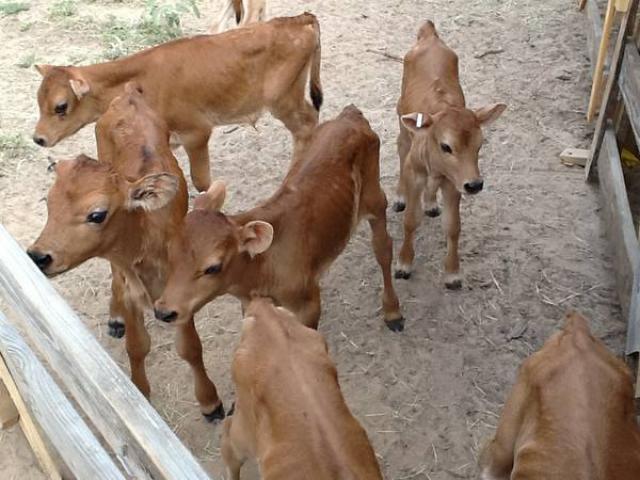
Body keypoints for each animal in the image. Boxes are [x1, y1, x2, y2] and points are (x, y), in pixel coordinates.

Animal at [27, 85, 225, 421]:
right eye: (48, 202)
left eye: (97, 214)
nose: (39, 256)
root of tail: (129, 94)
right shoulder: (131, 287)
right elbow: (137, 346)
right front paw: (141, 392)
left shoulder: (180, 293)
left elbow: (190, 348)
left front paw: (211, 403)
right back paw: (115, 316)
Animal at [32, 13, 322, 192]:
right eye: (38, 101)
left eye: (60, 106)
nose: (39, 138)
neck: (140, 79)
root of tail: (299, 20)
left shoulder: (196, 133)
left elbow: (202, 182)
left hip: (283, 101)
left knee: (306, 125)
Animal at [154, 105, 404, 332]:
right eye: (170, 254)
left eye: (213, 267)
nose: (164, 311)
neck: (264, 266)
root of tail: (350, 115)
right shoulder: (252, 303)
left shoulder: (308, 305)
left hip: (374, 198)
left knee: (383, 247)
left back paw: (393, 311)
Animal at [393, 20, 506, 289]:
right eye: (446, 146)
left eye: (479, 145)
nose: (475, 185)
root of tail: (430, 34)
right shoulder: (416, 172)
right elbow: (411, 220)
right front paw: (403, 264)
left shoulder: (454, 181)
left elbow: (453, 226)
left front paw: (453, 274)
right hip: (402, 117)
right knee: (401, 146)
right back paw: (400, 197)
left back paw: (431, 203)